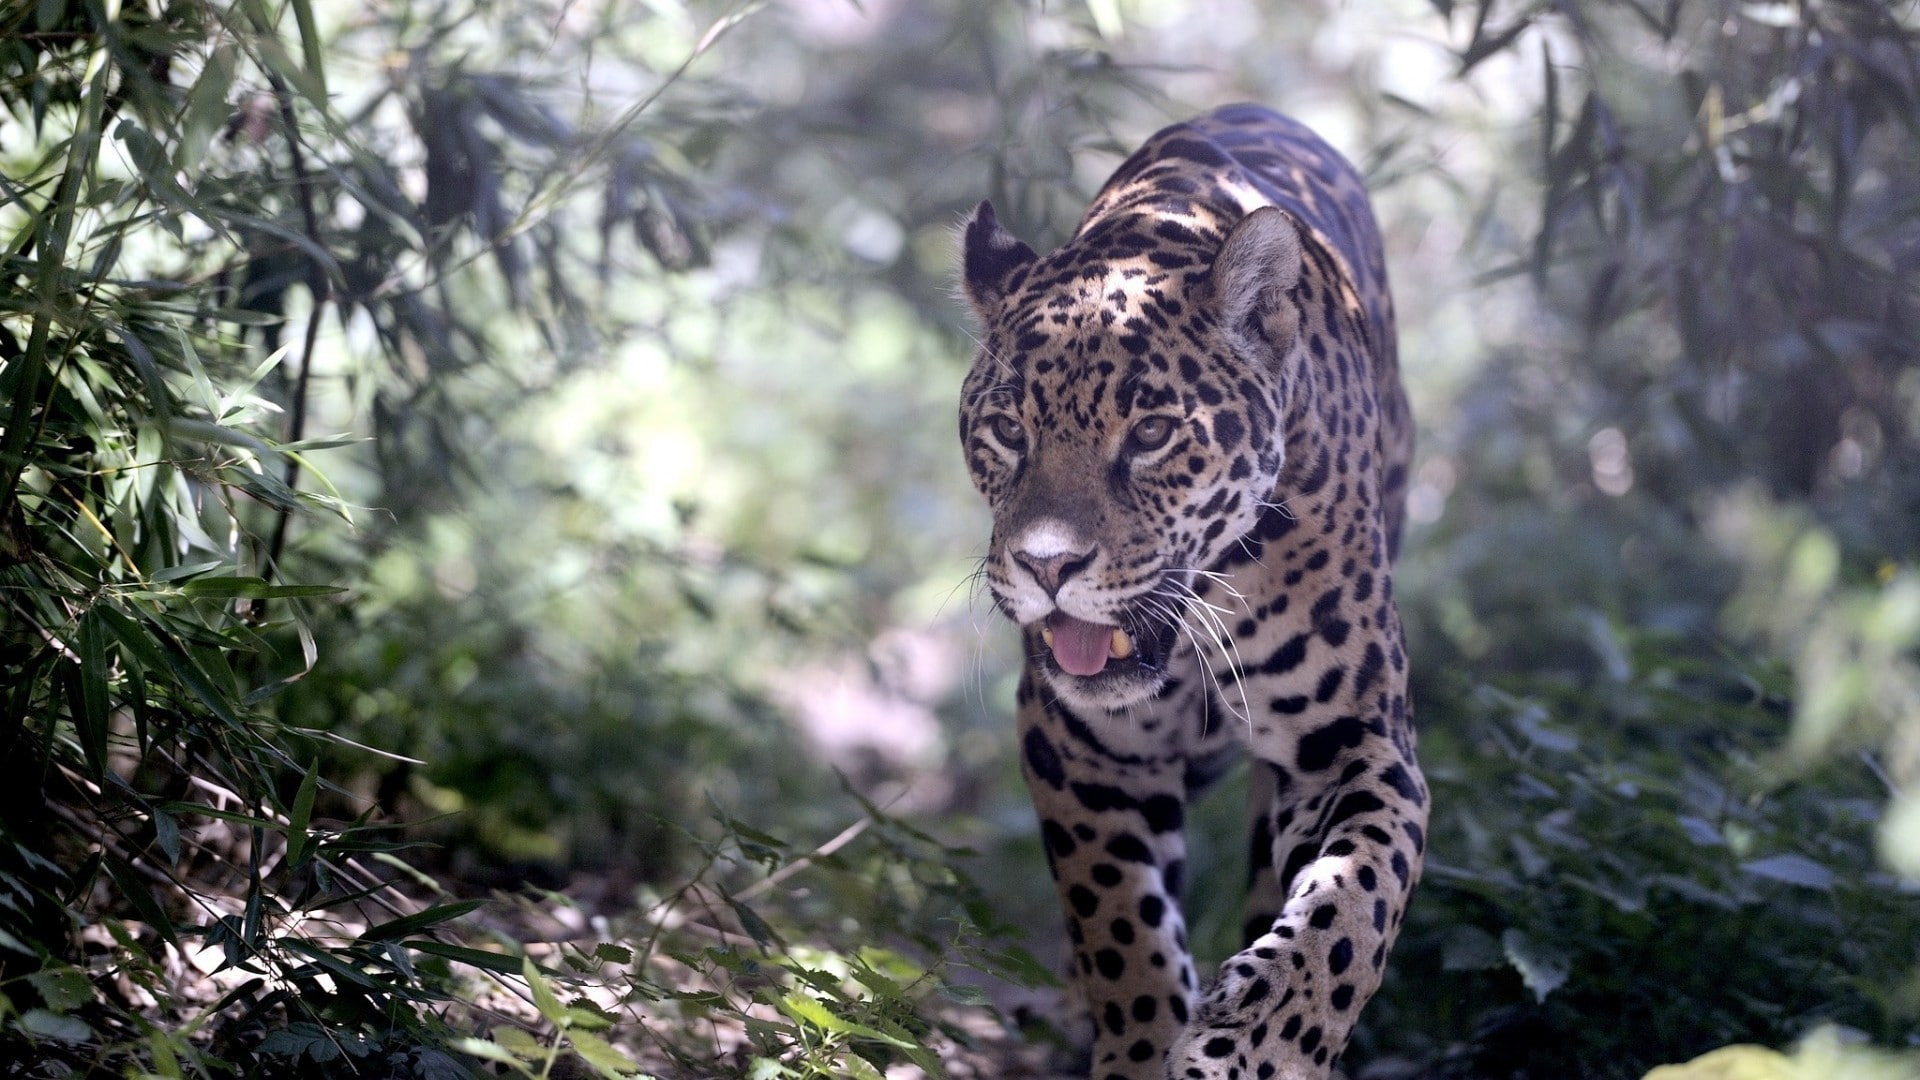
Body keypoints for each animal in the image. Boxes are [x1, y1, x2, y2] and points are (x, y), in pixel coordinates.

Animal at [955, 104, 1426, 1080]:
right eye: (1009, 430)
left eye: (1153, 433)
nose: (1046, 567)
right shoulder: (1079, 744)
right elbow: (1119, 925)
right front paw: (1140, 1049)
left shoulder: (1357, 738)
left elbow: (1356, 896)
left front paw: (1266, 1037)